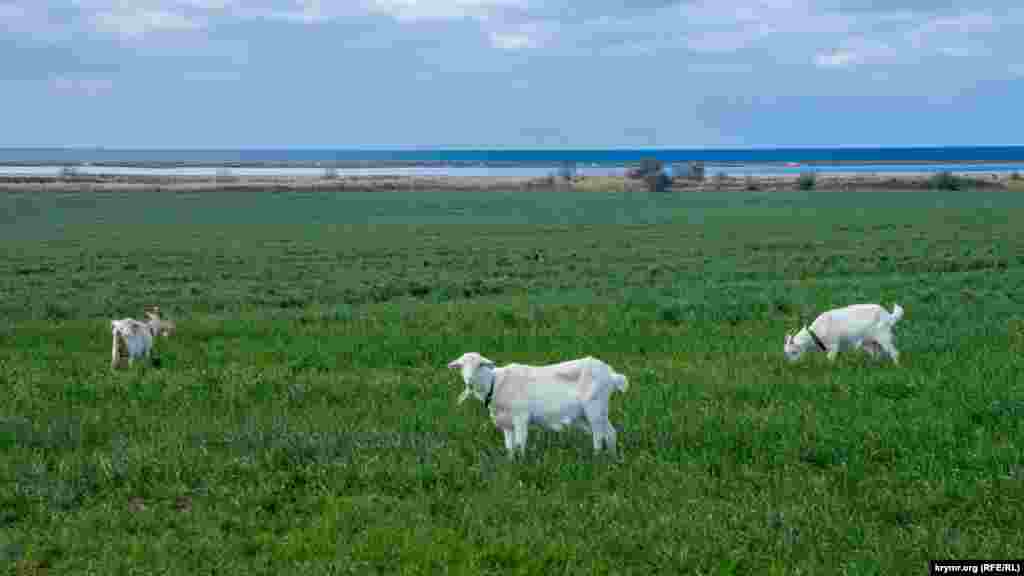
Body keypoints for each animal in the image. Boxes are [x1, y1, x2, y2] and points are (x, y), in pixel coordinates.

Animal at [450, 350, 630, 457]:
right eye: (461, 366)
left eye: (479, 365)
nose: (469, 381)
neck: (494, 383)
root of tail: (611, 375)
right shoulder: (506, 424)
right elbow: (510, 447)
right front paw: (511, 464)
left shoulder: (521, 417)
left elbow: (520, 444)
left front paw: (521, 463)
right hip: (597, 411)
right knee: (611, 433)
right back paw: (612, 458)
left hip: (594, 407)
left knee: (599, 436)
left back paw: (597, 457)